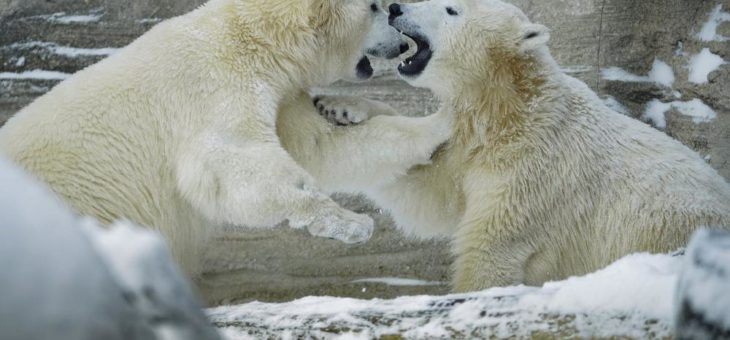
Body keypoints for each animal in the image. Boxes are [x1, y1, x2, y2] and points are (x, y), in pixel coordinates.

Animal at [0, 0, 452, 276]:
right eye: (374, 8)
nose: (399, 43)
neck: (252, 41)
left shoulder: (279, 94)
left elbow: (319, 147)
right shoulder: (214, 89)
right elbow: (231, 168)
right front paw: (352, 222)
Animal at [318, 0, 728, 292]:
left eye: (452, 9)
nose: (395, 8)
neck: (512, 107)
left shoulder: (535, 165)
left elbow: (491, 247)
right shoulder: (470, 150)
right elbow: (427, 189)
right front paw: (338, 107)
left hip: (666, 226)